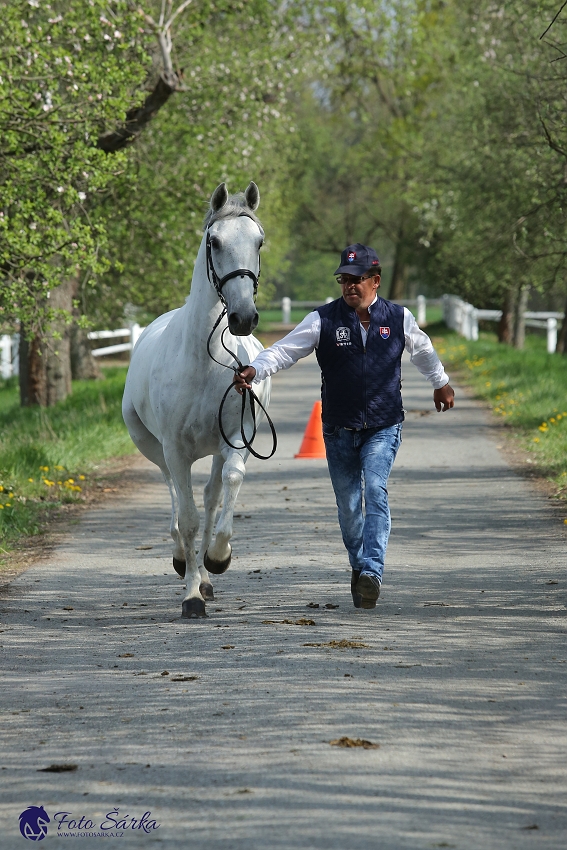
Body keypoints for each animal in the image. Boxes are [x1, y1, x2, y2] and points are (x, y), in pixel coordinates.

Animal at [123, 181, 272, 616]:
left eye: (259, 241)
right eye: (215, 241)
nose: (243, 317)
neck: (204, 363)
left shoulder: (236, 440)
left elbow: (227, 488)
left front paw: (218, 559)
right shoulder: (175, 449)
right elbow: (187, 518)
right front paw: (190, 598)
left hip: (217, 450)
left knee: (210, 497)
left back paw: (206, 574)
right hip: (155, 448)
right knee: (176, 496)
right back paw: (183, 563)